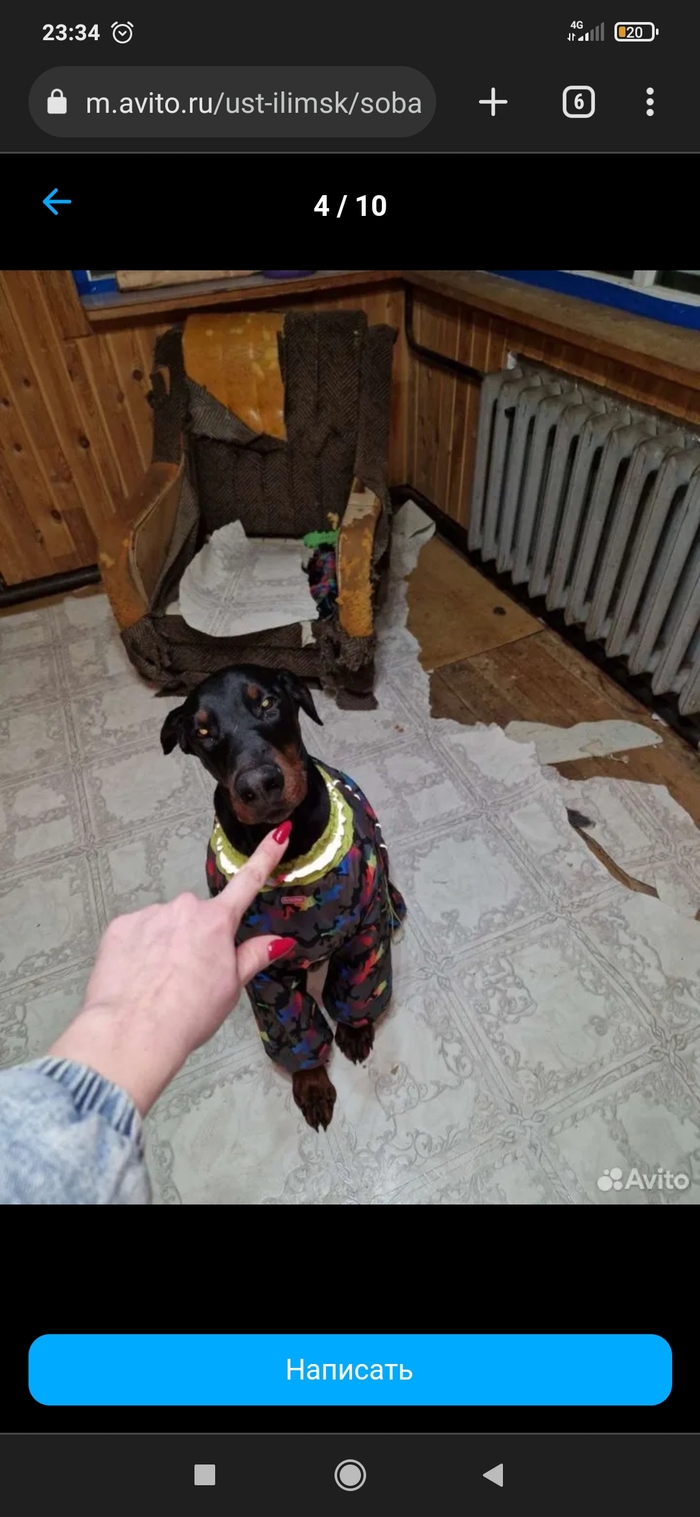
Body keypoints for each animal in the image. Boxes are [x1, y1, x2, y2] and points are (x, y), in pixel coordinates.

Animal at [160, 665, 406, 1131]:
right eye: (203, 731)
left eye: (267, 702)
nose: (259, 784)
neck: (289, 856)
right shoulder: (265, 971)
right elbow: (293, 1029)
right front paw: (311, 1084)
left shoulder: (364, 934)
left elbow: (359, 986)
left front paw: (355, 1030)